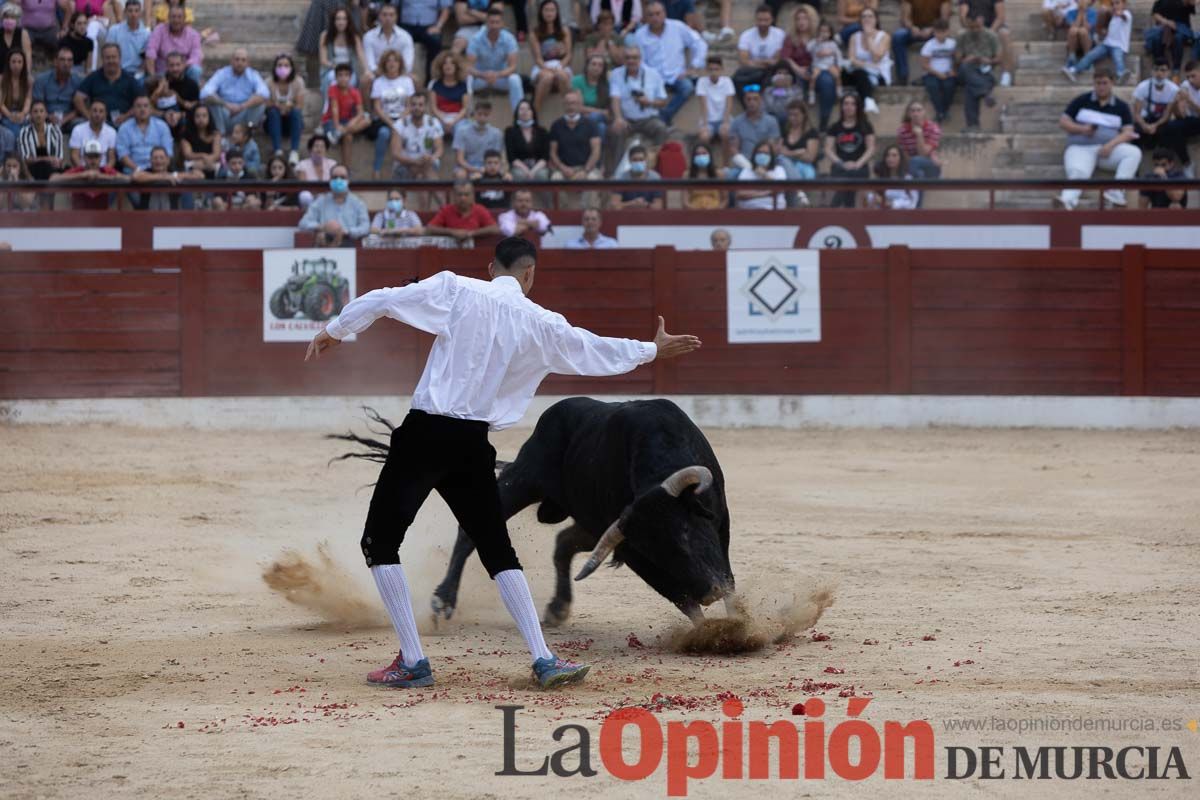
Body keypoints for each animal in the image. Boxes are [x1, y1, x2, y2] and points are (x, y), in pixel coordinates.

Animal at [333, 398, 734, 623]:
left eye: (685, 530)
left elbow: (726, 577)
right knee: (470, 535)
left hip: (587, 521)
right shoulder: (630, 549)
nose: (708, 590)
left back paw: (558, 608)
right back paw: (444, 599)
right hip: (521, 481)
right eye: (652, 550)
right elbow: (679, 597)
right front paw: (719, 634)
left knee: (563, 543)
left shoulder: (719, 528)